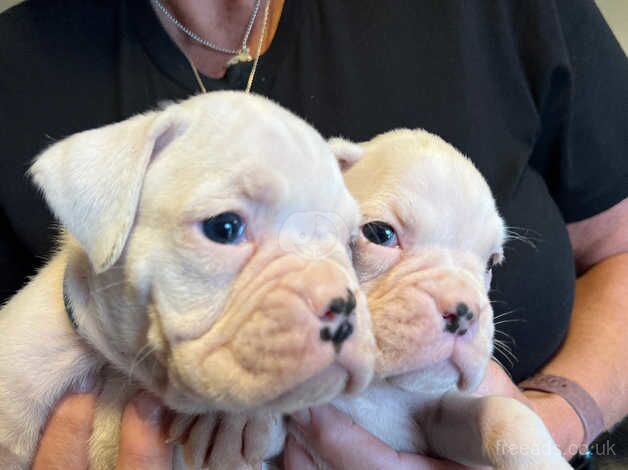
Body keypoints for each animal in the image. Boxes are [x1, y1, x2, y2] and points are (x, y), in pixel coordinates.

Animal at [316, 129, 572, 470]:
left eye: (491, 262)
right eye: (380, 234)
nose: (464, 312)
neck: (377, 388)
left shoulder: (438, 417)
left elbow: (505, 413)